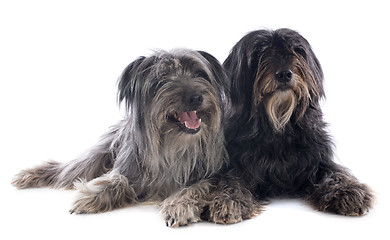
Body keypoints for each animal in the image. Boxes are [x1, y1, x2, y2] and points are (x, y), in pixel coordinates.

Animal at [12, 49, 232, 227]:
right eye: (161, 79)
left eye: (199, 73)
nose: (195, 97)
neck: (174, 146)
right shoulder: (129, 167)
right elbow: (117, 179)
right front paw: (92, 196)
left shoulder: (210, 175)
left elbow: (194, 188)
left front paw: (179, 205)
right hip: (95, 156)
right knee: (65, 170)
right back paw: (31, 174)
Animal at [219, 28, 374, 219]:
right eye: (259, 52)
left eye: (296, 50)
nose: (284, 73)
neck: (278, 126)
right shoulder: (237, 164)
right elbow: (231, 180)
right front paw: (229, 200)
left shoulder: (317, 158)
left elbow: (335, 172)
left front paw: (349, 191)